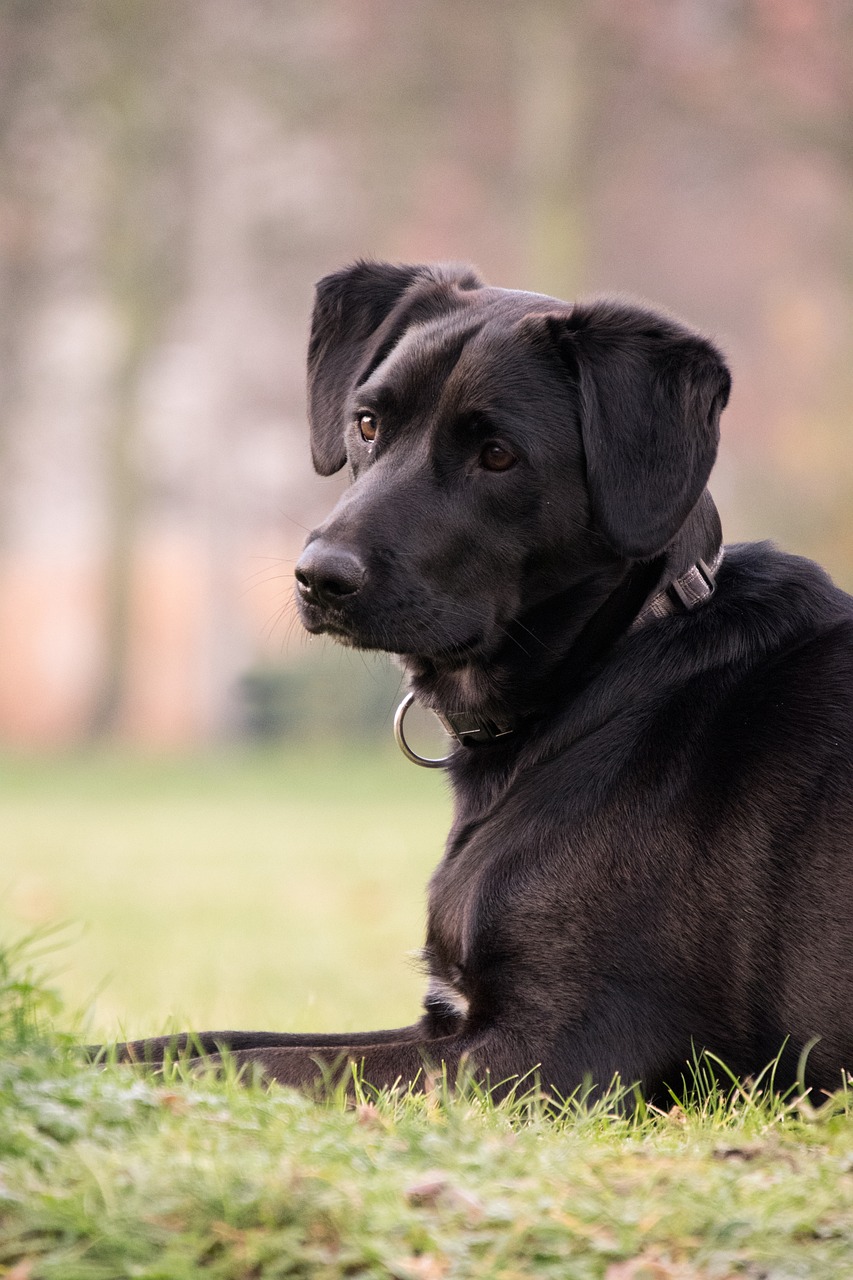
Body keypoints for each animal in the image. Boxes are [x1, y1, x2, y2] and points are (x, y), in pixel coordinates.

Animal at [122, 262, 850, 1100]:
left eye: (497, 455)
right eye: (366, 423)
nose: (318, 577)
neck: (603, 666)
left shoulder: (560, 1050)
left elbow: (254, 1063)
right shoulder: (449, 1022)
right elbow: (202, 1037)